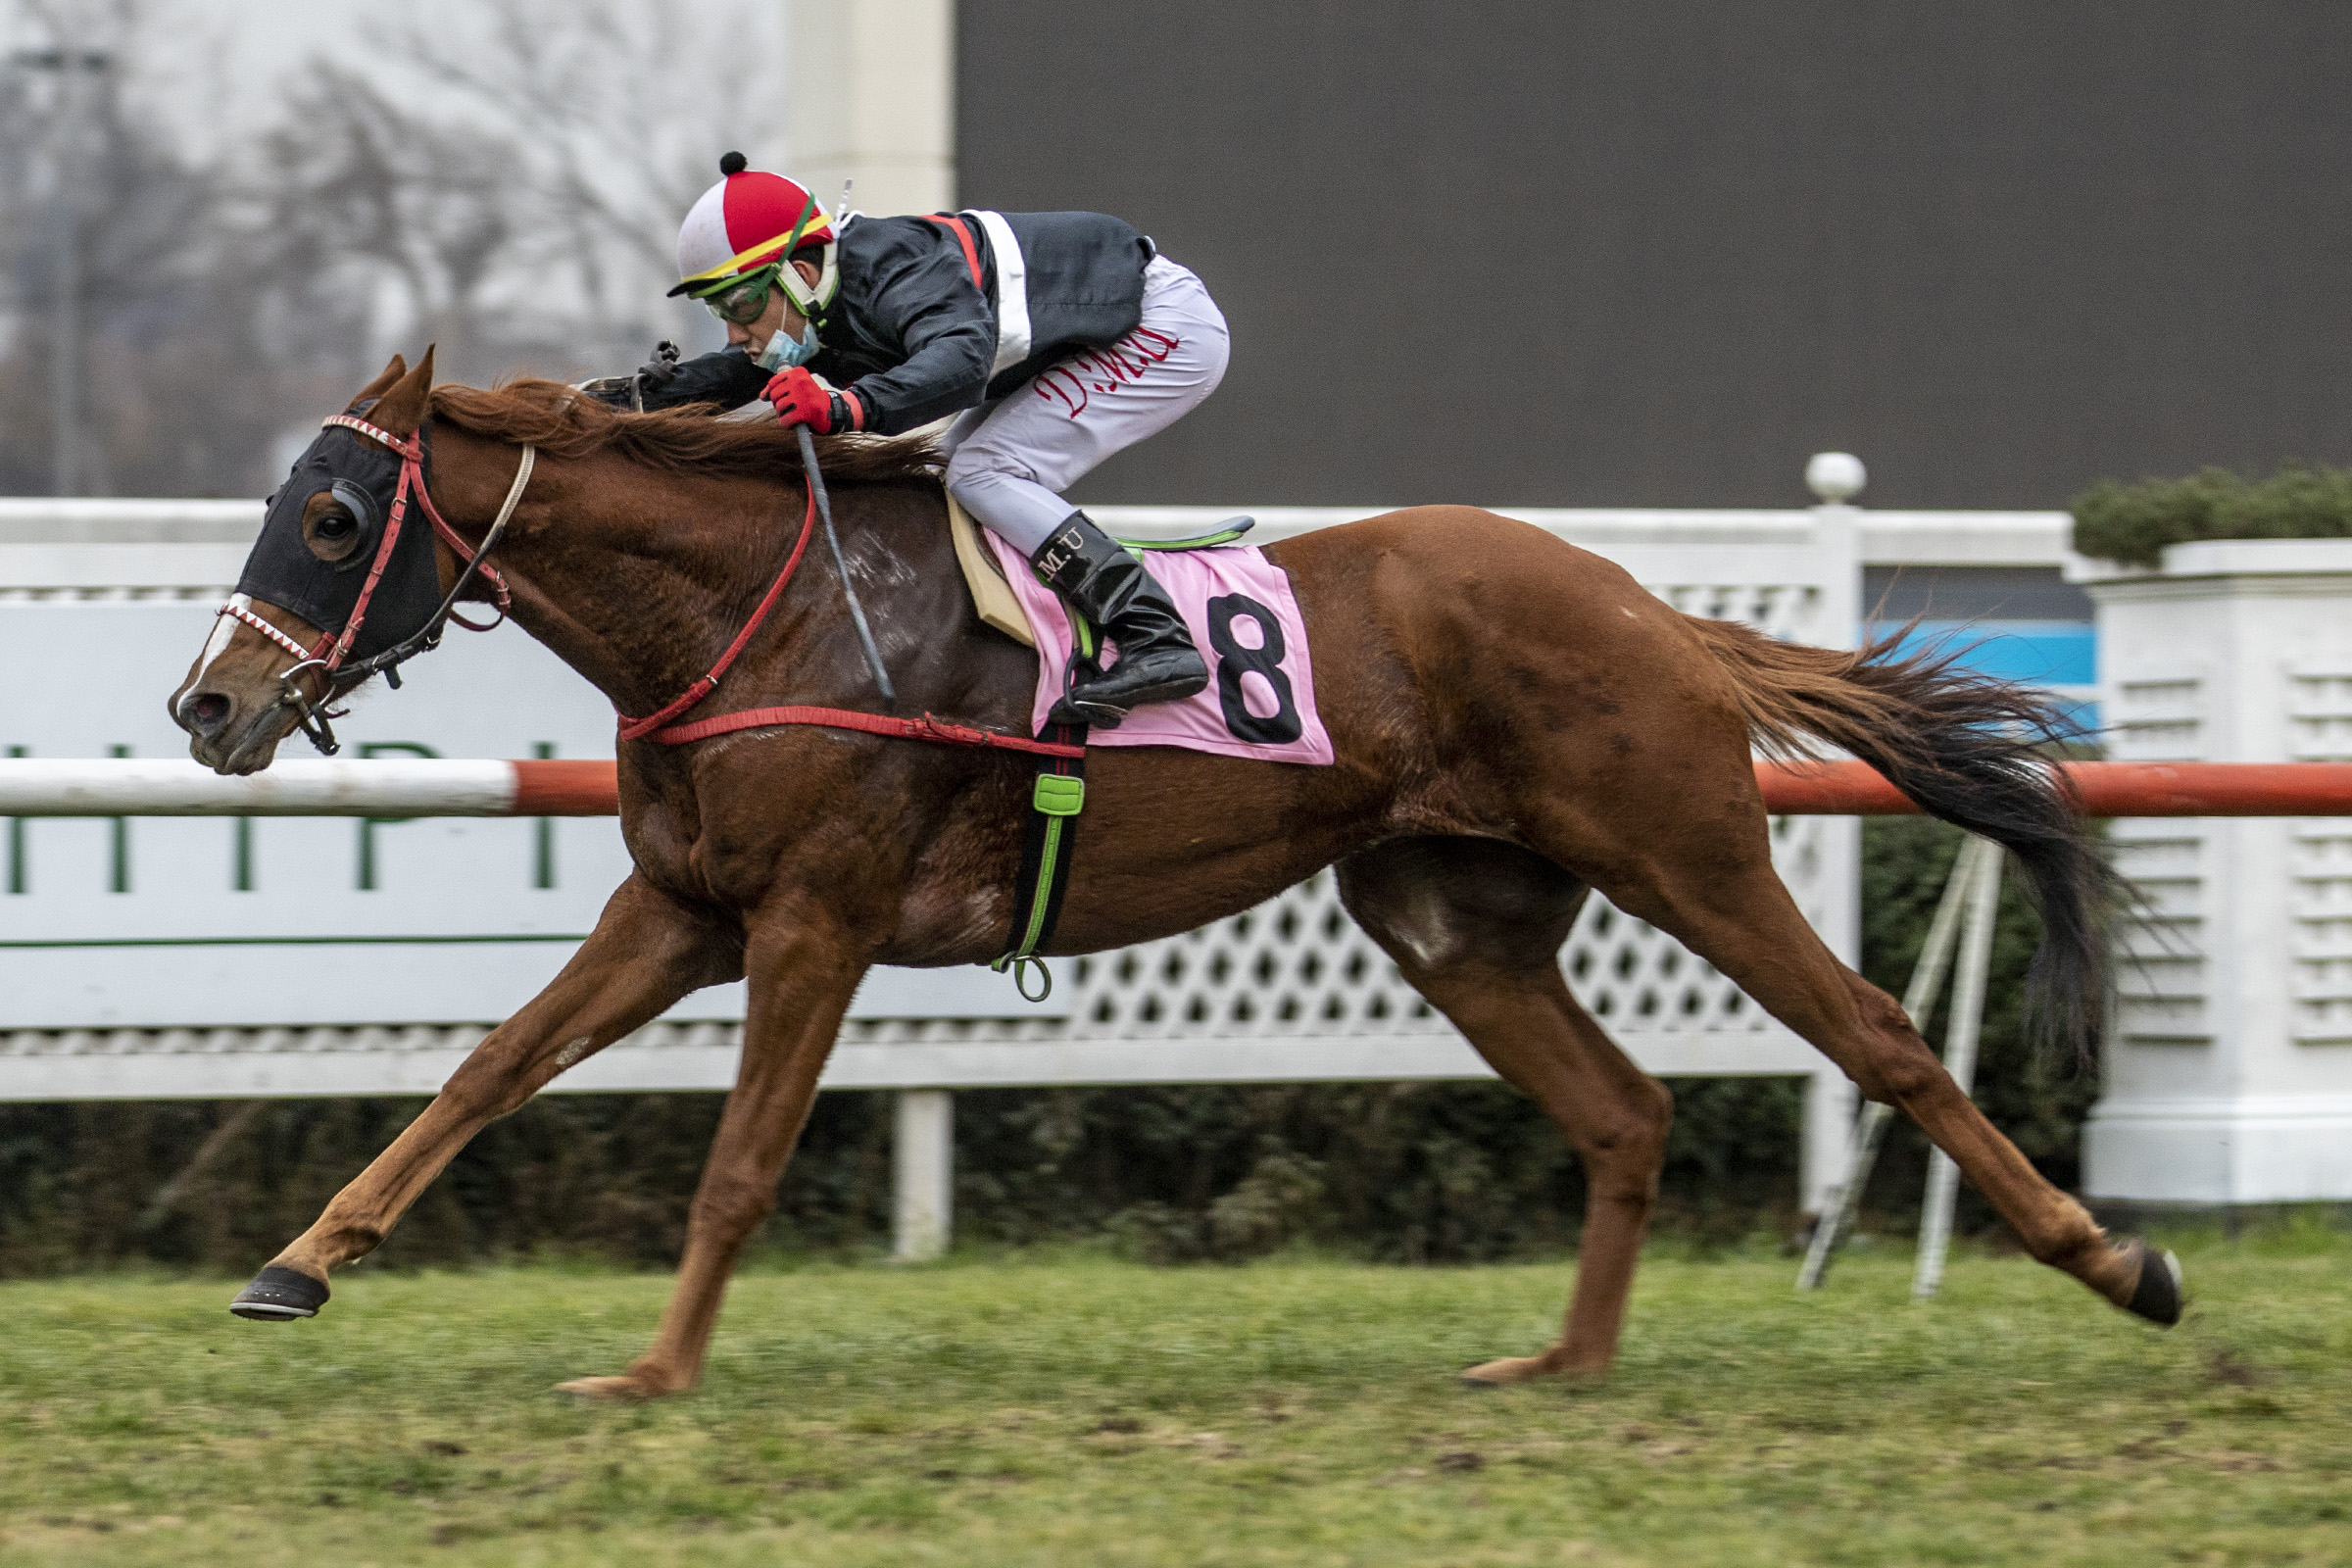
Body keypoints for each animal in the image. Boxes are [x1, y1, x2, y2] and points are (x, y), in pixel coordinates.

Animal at [168, 349, 2180, 1400]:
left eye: (332, 517)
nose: (210, 703)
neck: (771, 607)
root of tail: (1651, 609)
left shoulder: (816, 919)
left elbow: (737, 1162)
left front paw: (655, 1374)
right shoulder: (680, 910)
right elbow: (486, 1069)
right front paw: (300, 1266)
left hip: (1685, 846)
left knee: (1881, 1040)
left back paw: (2119, 1265)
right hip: (1449, 915)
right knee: (1627, 1112)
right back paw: (1562, 1366)